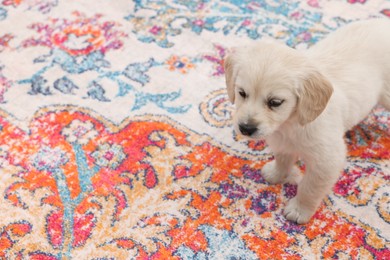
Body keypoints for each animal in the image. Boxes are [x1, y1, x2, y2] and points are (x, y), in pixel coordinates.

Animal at [224, 19, 390, 224]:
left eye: (275, 102)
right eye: (242, 93)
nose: (246, 128)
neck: (290, 123)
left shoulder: (327, 160)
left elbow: (309, 188)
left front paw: (299, 210)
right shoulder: (282, 142)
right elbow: (282, 159)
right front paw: (277, 174)